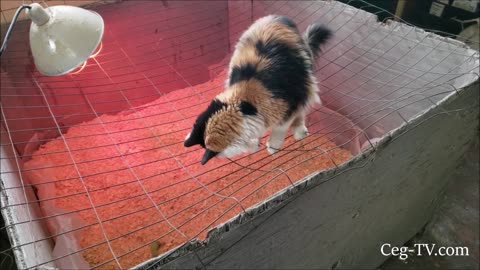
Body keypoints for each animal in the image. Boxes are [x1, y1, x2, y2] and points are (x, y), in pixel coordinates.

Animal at [186, 14, 332, 165]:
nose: (203, 161)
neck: (246, 100)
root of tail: (277, 17)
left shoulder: (293, 99)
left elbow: (281, 126)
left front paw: (273, 146)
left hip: (307, 80)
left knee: (302, 110)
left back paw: (299, 131)